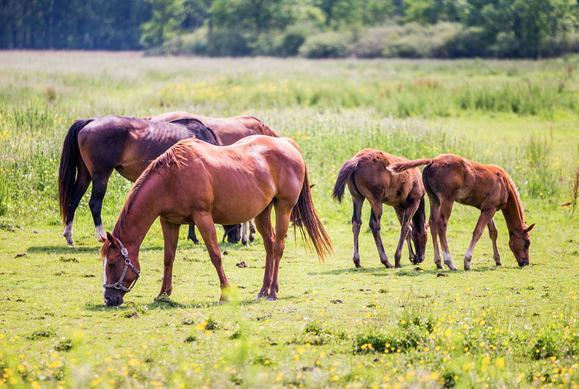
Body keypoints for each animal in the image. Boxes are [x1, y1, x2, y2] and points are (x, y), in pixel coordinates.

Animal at [58, 113, 220, 244]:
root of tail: (91, 121)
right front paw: (194, 237)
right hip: (100, 176)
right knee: (95, 204)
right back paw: (101, 235)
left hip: (85, 176)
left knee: (73, 201)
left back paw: (69, 236)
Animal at [99, 136, 330, 306]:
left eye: (112, 263)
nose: (109, 299)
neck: (172, 177)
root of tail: (287, 144)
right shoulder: (169, 222)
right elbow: (168, 258)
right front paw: (163, 294)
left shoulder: (202, 217)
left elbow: (215, 255)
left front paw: (225, 293)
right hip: (262, 212)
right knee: (270, 246)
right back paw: (263, 290)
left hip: (283, 208)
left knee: (279, 246)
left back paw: (272, 291)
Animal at [390, 152, 536, 270]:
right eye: (527, 243)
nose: (525, 262)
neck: (504, 184)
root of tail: (432, 161)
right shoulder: (489, 209)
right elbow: (478, 232)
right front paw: (467, 261)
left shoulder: (487, 208)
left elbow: (493, 232)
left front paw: (498, 260)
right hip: (447, 200)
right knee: (441, 224)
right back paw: (450, 262)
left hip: (434, 200)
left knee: (432, 223)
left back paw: (439, 262)